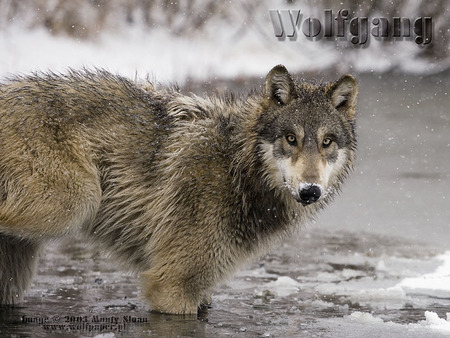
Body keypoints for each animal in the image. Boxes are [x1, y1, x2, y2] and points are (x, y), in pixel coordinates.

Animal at [0, 65, 358, 314]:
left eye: (327, 142)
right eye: (291, 138)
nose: (310, 191)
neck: (236, 166)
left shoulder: (202, 291)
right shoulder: (173, 286)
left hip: (18, 273)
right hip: (78, 202)